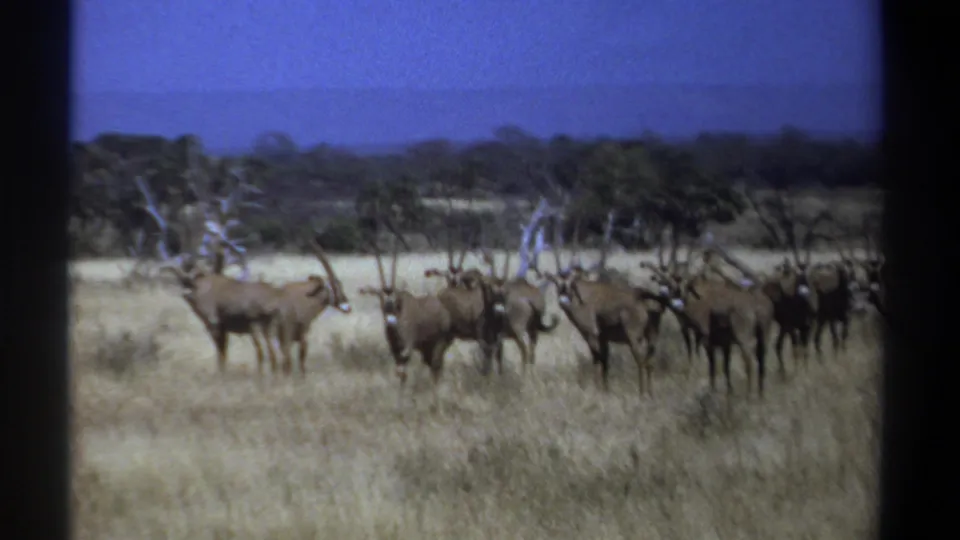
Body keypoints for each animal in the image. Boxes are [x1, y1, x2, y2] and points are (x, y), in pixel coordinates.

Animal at [358, 238, 455, 410]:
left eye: (395, 298)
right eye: (380, 297)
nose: (390, 319)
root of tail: (442, 308)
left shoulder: (407, 347)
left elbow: (403, 373)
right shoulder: (395, 351)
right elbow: (400, 373)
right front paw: (399, 406)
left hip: (439, 344)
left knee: (436, 367)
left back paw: (435, 405)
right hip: (425, 348)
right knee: (432, 367)